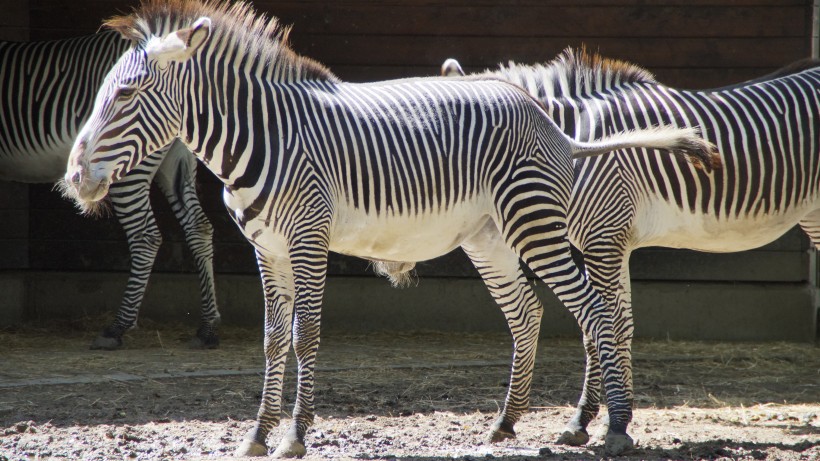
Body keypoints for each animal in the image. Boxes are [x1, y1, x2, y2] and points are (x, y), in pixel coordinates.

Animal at [0, 30, 221, 346]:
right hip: (176, 160)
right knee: (198, 226)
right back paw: (207, 327)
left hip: (130, 162)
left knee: (146, 235)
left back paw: (117, 327)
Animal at [60, 1, 716, 456]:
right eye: (104, 92)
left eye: (129, 93)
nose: (73, 177)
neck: (264, 140)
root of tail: (547, 119)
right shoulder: (266, 250)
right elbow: (272, 341)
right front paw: (256, 435)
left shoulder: (308, 239)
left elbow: (305, 336)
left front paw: (294, 436)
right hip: (490, 237)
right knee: (530, 312)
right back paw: (506, 422)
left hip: (535, 224)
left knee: (597, 311)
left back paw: (615, 426)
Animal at [442, 50, 820, 446]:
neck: (574, 144)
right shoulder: (612, 242)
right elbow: (617, 323)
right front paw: (598, 419)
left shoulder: (603, 238)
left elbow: (601, 326)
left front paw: (609, 422)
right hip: (812, 213)